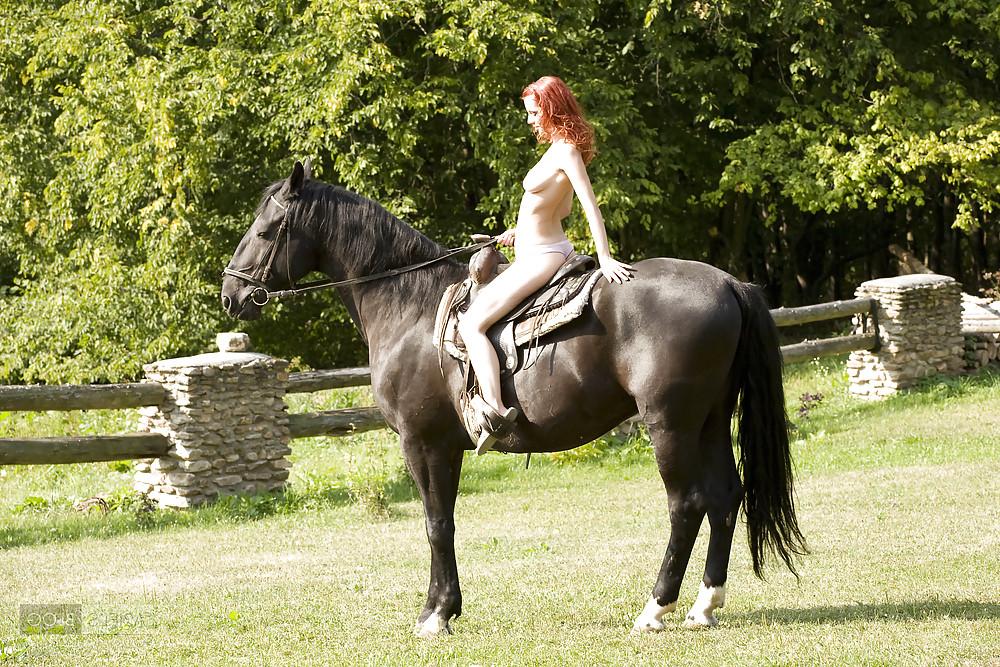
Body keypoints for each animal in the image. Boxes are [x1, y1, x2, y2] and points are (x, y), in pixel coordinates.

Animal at [221, 161, 806, 637]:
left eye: (267, 229)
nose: (230, 295)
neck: (409, 306)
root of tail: (729, 283)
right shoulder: (445, 446)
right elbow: (445, 521)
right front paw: (445, 607)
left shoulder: (424, 443)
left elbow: (437, 523)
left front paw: (437, 614)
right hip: (709, 421)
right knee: (726, 497)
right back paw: (705, 605)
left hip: (670, 425)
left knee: (687, 505)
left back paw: (655, 608)